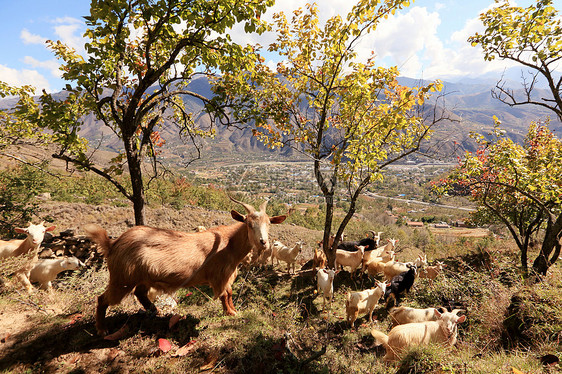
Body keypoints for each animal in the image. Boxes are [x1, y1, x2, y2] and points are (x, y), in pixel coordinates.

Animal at [85, 196, 286, 336]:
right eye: (249, 224)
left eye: (269, 223)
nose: (263, 242)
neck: (229, 243)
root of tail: (113, 244)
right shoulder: (219, 276)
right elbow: (224, 294)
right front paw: (231, 313)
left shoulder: (227, 275)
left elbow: (229, 293)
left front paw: (233, 310)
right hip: (122, 278)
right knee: (102, 299)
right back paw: (102, 329)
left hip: (142, 278)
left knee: (140, 293)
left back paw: (155, 310)